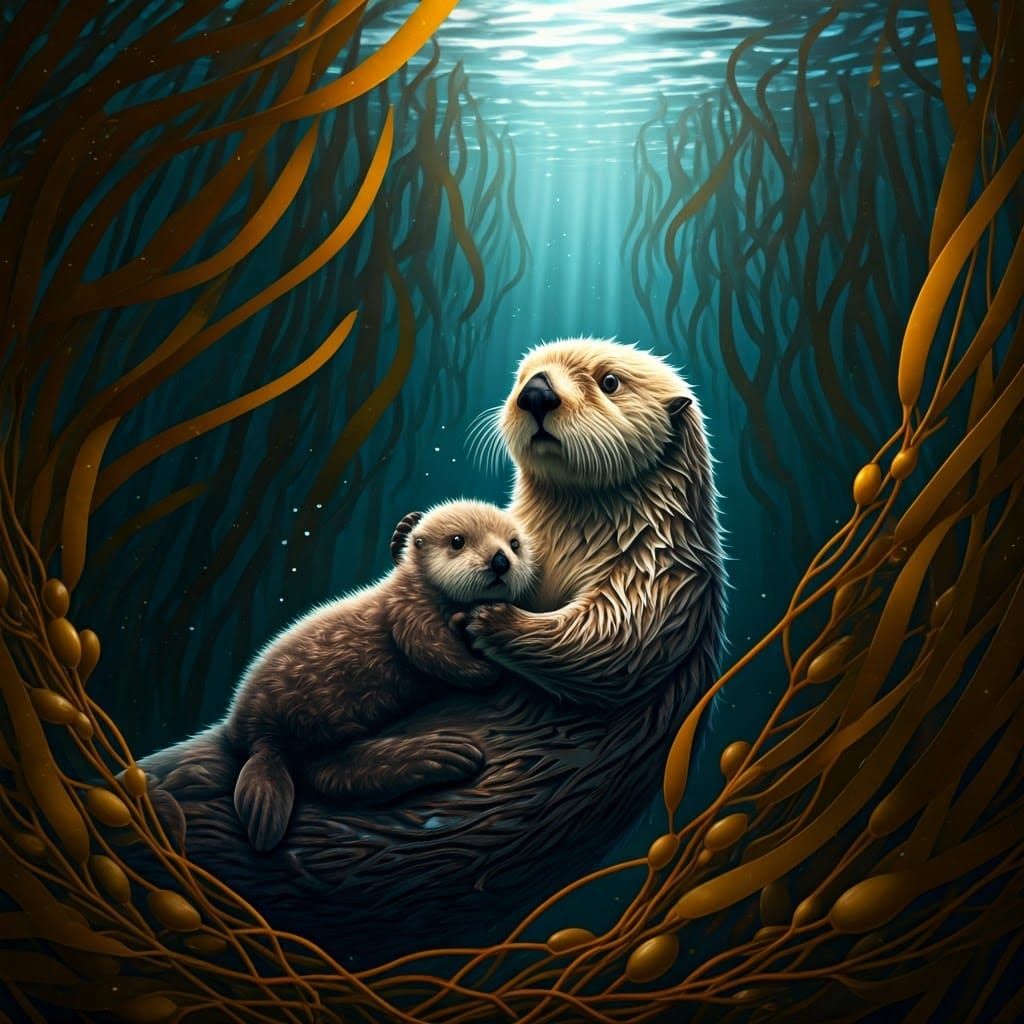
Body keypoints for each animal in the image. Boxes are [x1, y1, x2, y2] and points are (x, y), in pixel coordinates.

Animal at [224, 500, 533, 851]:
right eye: (458, 541)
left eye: (514, 545)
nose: (500, 561)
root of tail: (258, 738)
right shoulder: (409, 610)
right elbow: (432, 651)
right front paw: (484, 665)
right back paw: (442, 753)